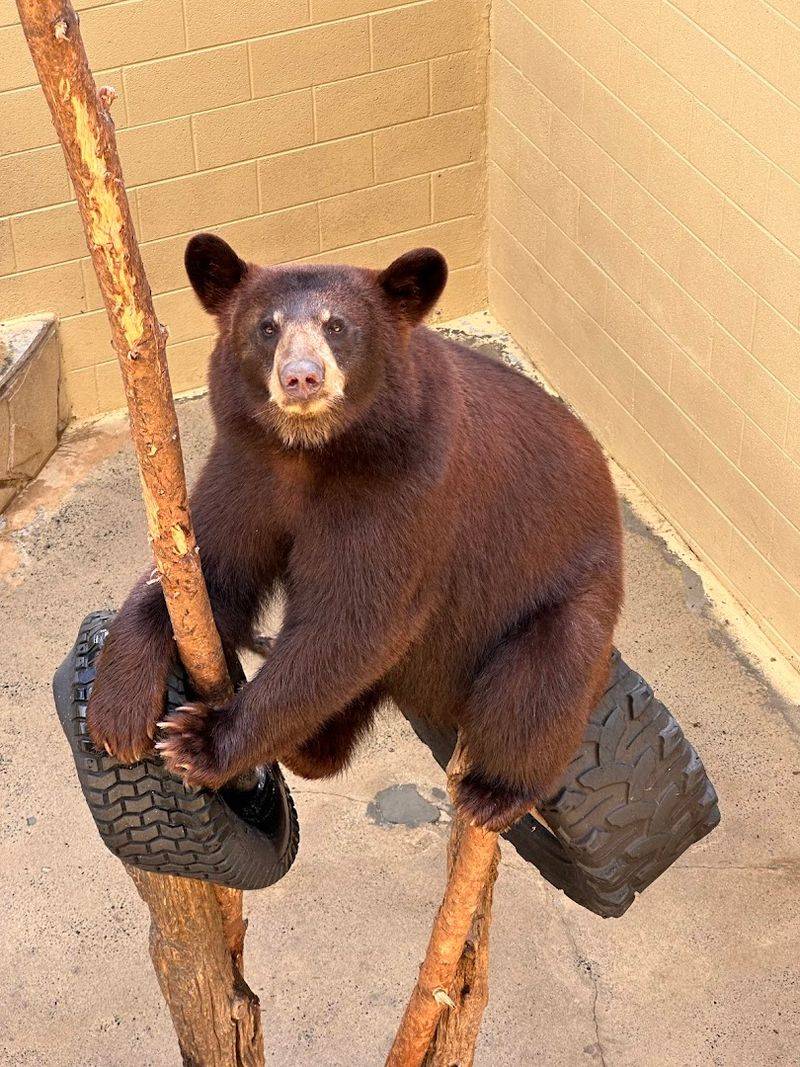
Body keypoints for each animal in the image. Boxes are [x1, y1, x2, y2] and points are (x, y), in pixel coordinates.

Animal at [87, 234, 623, 831]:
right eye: (267, 327)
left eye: (337, 326)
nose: (301, 376)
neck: (312, 451)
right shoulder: (247, 466)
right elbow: (207, 565)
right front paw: (117, 712)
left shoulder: (401, 488)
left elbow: (354, 618)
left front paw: (200, 740)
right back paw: (309, 746)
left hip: (563, 589)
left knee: (544, 681)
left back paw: (494, 791)